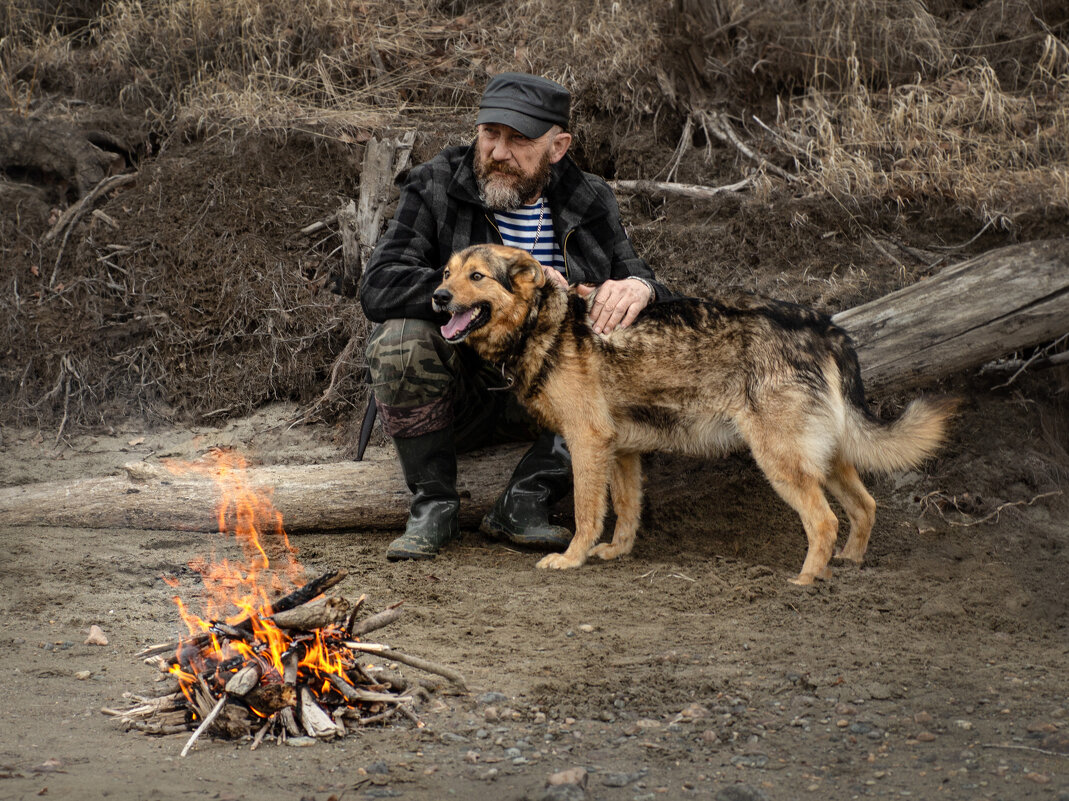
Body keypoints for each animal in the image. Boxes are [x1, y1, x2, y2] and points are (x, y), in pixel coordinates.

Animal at [429, 240, 957, 586]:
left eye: (476, 277)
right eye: (445, 273)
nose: (436, 297)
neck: (545, 322)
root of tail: (822, 324)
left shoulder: (586, 442)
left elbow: (585, 512)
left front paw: (571, 559)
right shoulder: (621, 452)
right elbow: (625, 511)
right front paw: (616, 553)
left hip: (781, 461)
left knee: (824, 521)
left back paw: (806, 581)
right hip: (824, 457)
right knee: (865, 507)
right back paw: (849, 563)